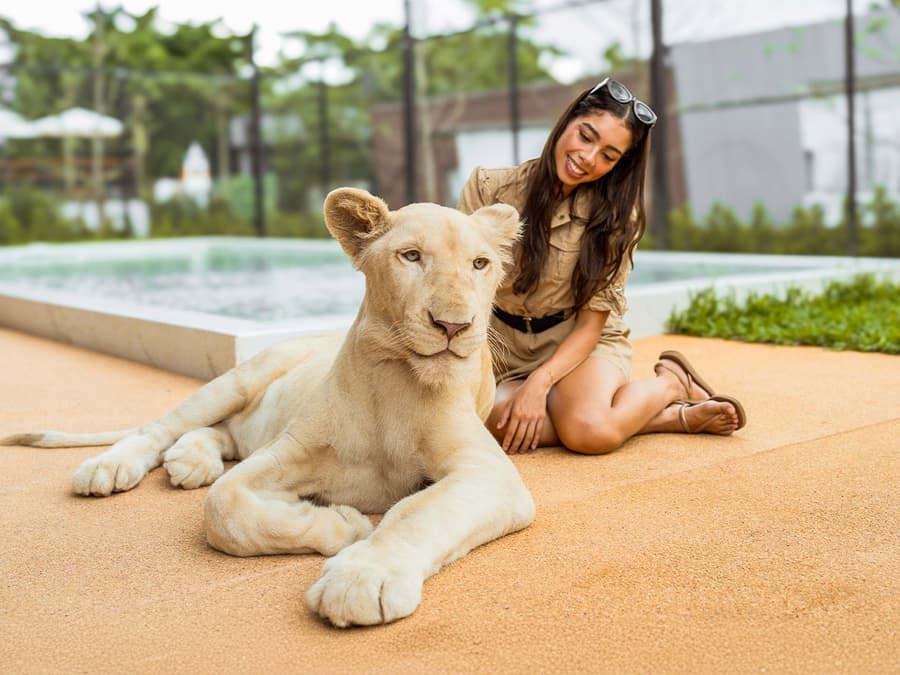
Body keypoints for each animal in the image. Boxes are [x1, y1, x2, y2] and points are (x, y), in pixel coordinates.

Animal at [1, 188, 535, 627]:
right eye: (411, 256)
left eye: (480, 264)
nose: (454, 325)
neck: (395, 382)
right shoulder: (284, 453)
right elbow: (225, 507)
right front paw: (344, 524)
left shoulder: (488, 473)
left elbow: (421, 512)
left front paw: (362, 577)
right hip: (237, 379)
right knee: (159, 429)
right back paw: (109, 468)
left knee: (217, 434)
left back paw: (189, 462)